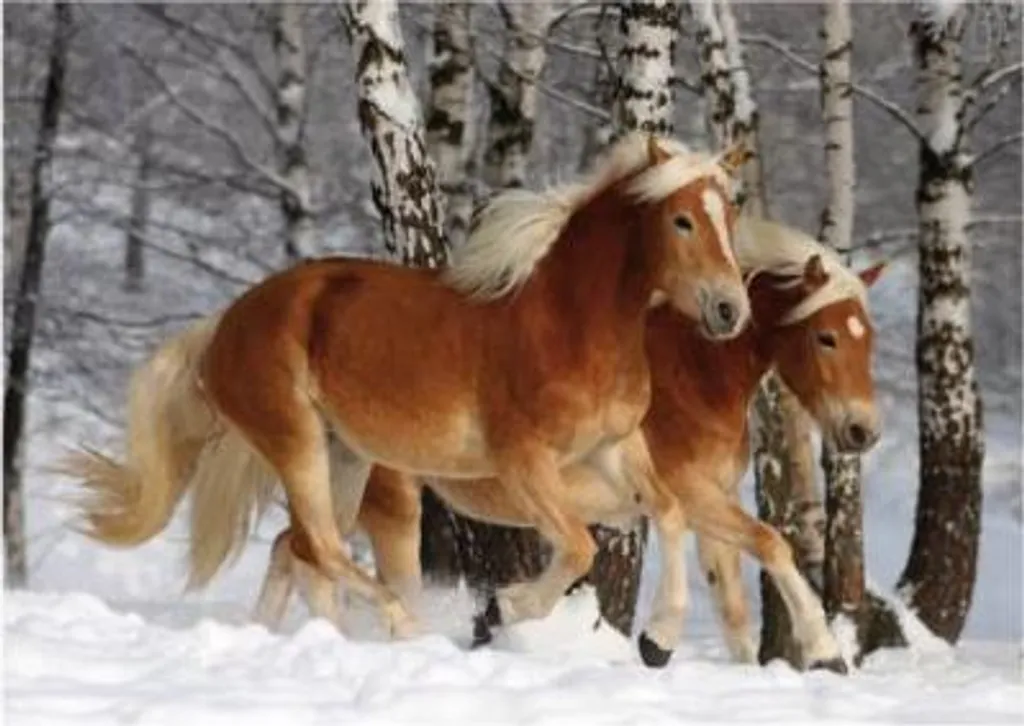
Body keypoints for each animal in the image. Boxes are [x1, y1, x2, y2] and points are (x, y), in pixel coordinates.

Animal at [62, 132, 751, 645]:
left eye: (731, 216)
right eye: (682, 220)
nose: (729, 310)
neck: (571, 324)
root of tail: (226, 322)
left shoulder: (615, 447)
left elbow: (669, 512)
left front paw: (660, 639)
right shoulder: (524, 463)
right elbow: (581, 547)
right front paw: (508, 607)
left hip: (345, 456)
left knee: (301, 548)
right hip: (299, 443)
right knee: (323, 547)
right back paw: (401, 623)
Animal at [250, 218, 885, 672]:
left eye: (867, 337)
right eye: (826, 336)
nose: (863, 432)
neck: (693, 377)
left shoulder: (712, 505)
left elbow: (734, 603)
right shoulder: (694, 496)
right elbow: (773, 543)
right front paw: (824, 652)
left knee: (292, 548)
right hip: (390, 506)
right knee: (325, 560)